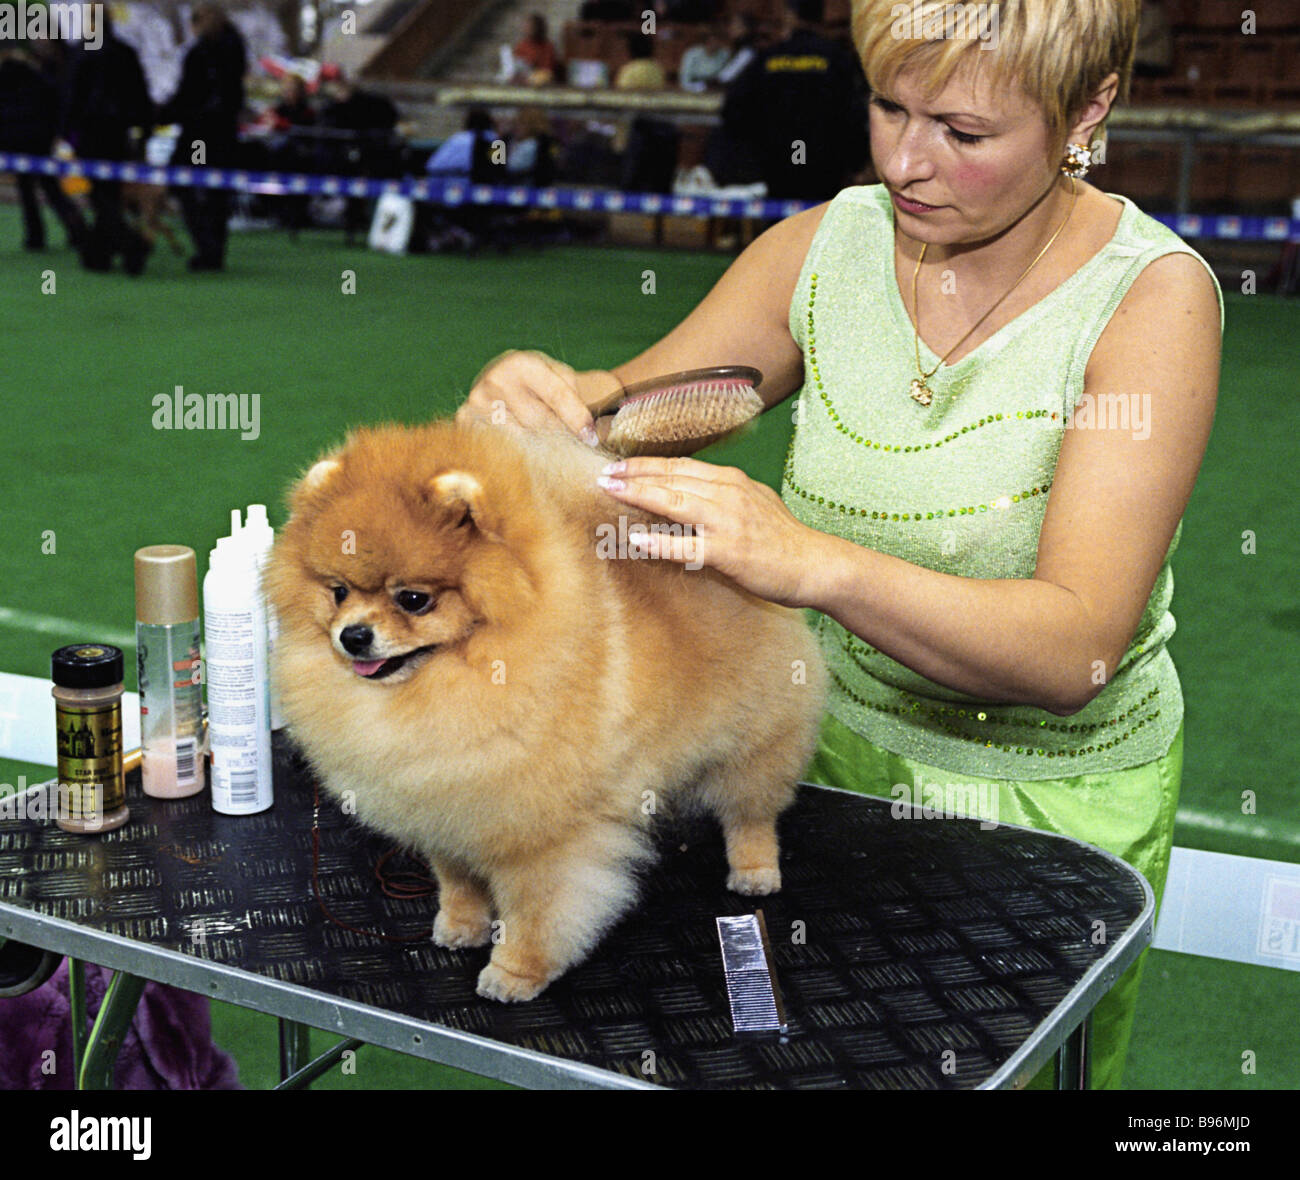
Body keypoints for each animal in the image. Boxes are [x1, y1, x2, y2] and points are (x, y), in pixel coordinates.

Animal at [266, 418, 821, 998]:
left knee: (751, 811)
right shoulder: (446, 814)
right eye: (338, 592)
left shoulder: (543, 838)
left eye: (413, 599)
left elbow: (537, 912)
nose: (352, 636)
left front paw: (515, 972)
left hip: (755, 739)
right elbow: (458, 883)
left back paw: (755, 869)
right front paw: (460, 926)